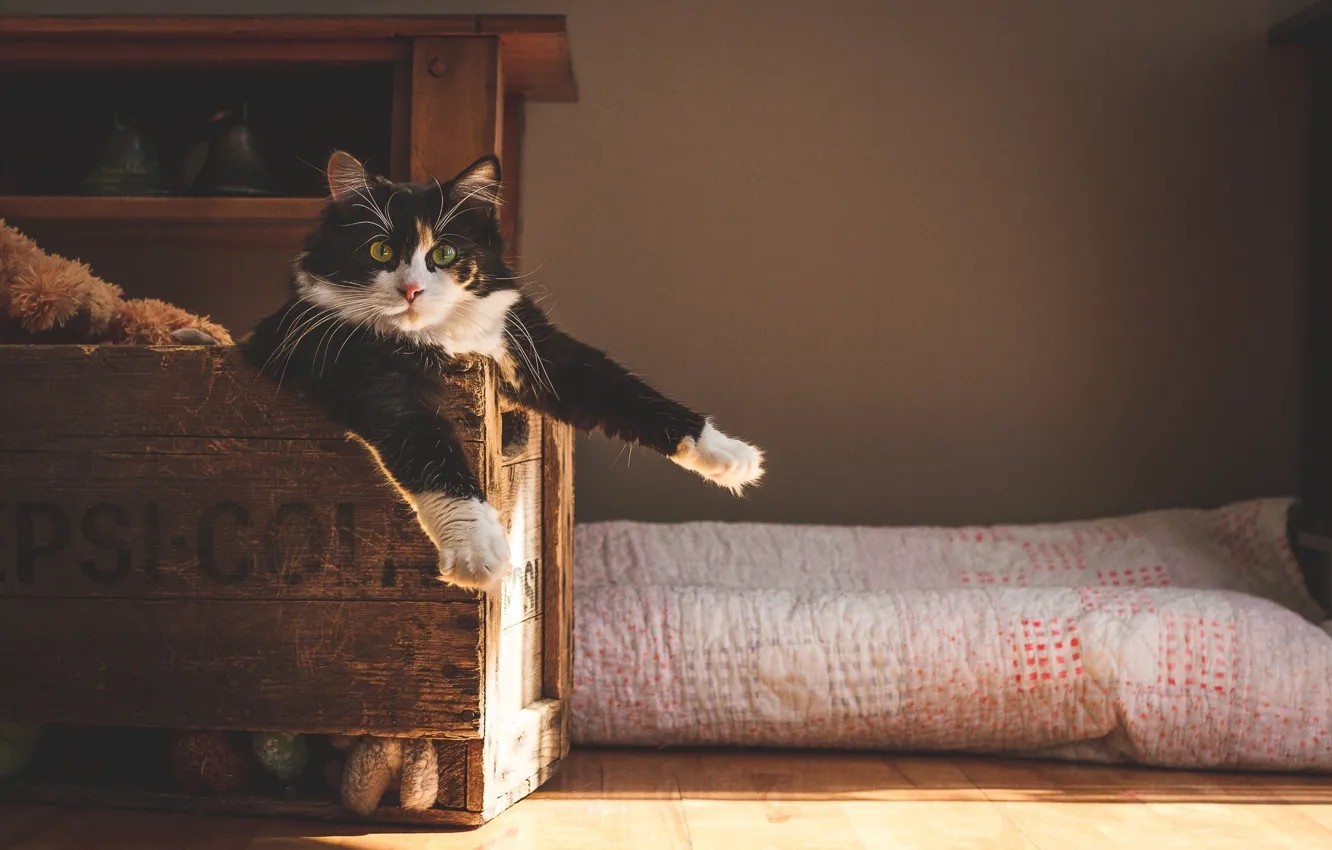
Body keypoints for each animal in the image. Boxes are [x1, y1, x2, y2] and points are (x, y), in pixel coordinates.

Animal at [245, 151, 767, 591]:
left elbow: (623, 390)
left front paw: (731, 455)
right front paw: (476, 548)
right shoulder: (367, 372)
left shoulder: (536, 346)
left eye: (445, 254)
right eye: (380, 252)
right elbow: (428, 446)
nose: (411, 290)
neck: (439, 338)